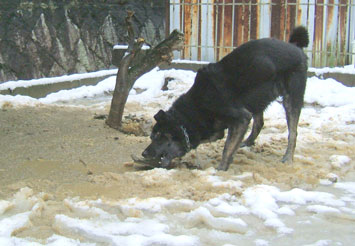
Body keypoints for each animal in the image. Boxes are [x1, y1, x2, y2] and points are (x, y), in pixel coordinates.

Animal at [143, 26, 310, 170]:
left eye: (158, 136)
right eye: (151, 136)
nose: (143, 153)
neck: (198, 104)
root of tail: (296, 48)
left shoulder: (241, 118)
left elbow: (227, 148)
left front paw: (221, 168)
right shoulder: (214, 129)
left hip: (290, 99)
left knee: (293, 132)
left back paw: (287, 157)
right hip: (257, 98)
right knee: (259, 122)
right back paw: (247, 142)